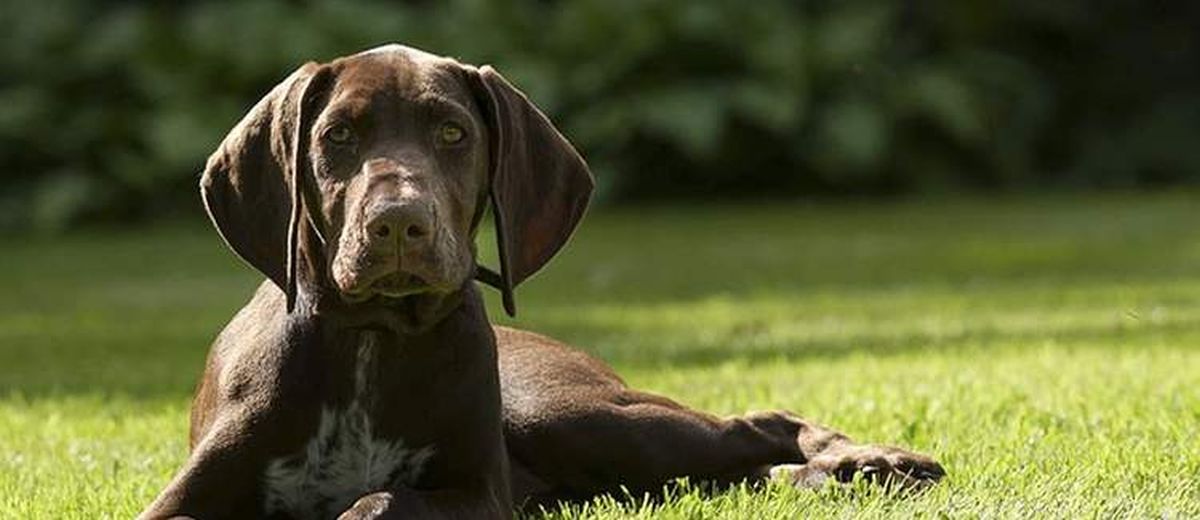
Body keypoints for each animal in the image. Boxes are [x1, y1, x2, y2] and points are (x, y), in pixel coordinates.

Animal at [140, 45, 940, 518]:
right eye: (338, 136)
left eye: (453, 133)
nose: (398, 225)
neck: (372, 338)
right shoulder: (182, 501)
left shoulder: (476, 494)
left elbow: (378, 503)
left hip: (572, 416)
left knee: (757, 426)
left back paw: (874, 462)